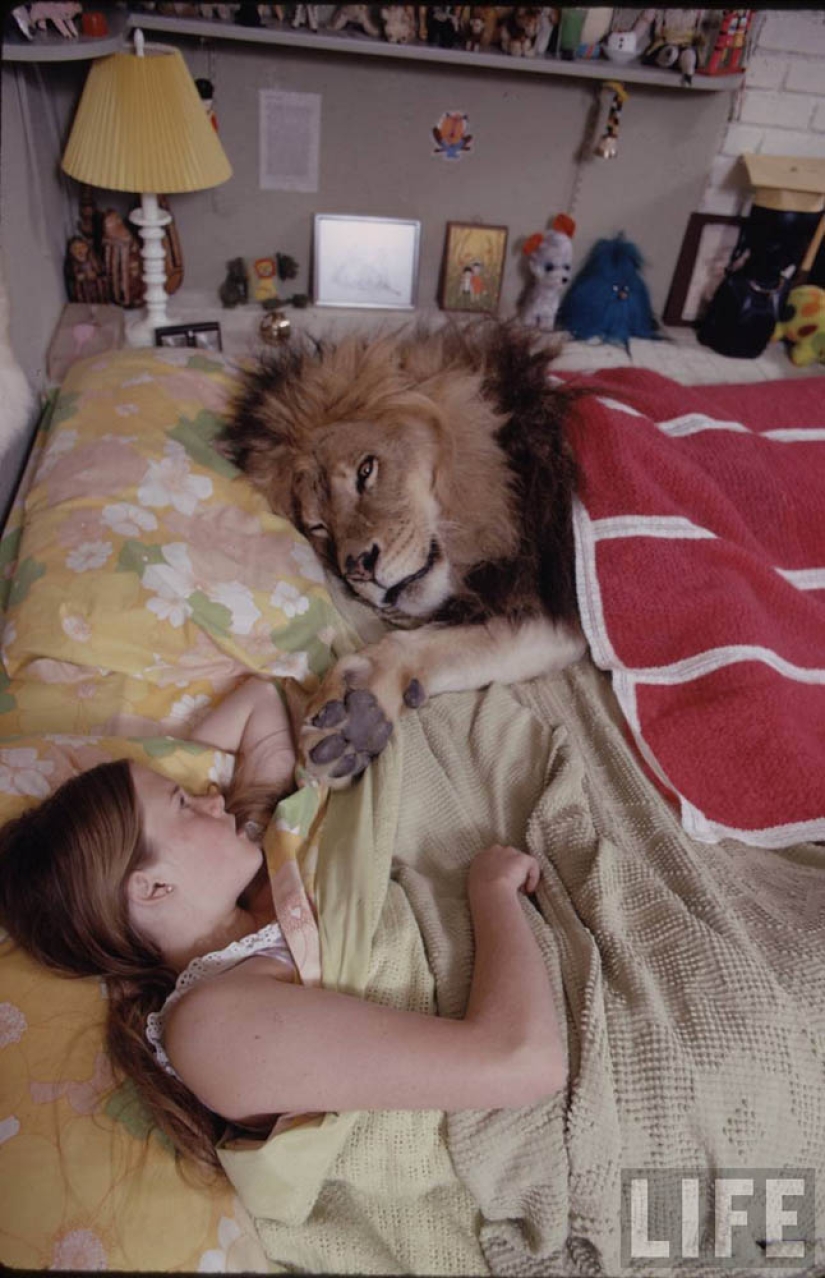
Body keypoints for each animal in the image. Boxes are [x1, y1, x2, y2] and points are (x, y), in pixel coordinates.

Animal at [222, 320, 586, 785]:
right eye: (318, 527)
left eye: (366, 471)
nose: (358, 567)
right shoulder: (556, 609)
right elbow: (438, 646)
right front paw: (355, 718)